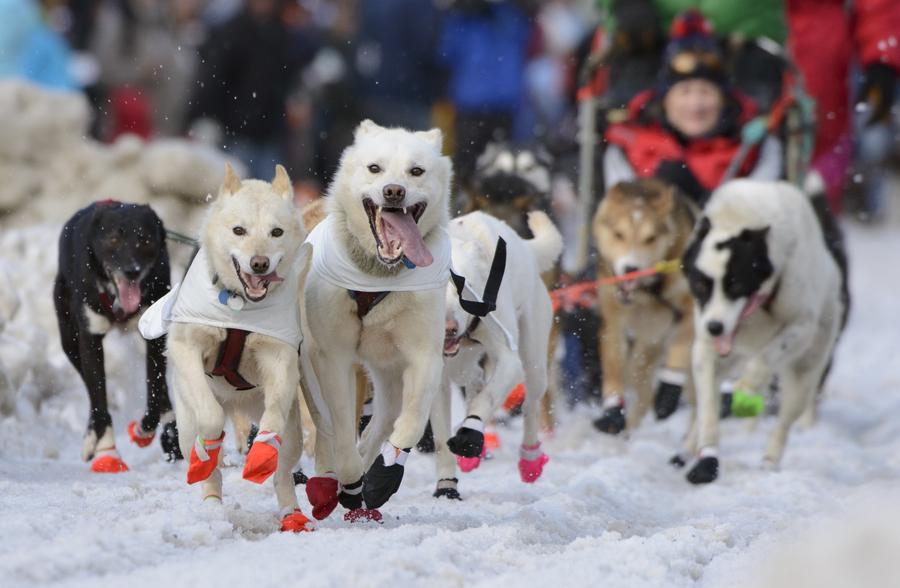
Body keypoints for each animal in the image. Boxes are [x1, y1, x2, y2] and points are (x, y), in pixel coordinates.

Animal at [53, 201, 181, 474]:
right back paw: (92, 438)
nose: (131, 271)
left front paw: (145, 430)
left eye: (145, 240)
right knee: (91, 392)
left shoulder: (154, 338)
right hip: (69, 340)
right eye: (113, 239)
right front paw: (107, 450)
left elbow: (154, 389)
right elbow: (99, 396)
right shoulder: (89, 339)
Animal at [302, 118, 454, 520]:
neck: (378, 274)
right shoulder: (333, 357)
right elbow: (341, 425)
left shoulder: (425, 356)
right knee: (324, 428)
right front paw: (350, 479)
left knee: (383, 421)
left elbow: (412, 421)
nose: (394, 191)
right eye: (375, 168)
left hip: (388, 375)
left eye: (416, 171)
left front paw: (384, 476)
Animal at [596, 177, 700, 434]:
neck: (647, 293)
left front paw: (668, 394)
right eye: (619, 234)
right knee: (639, 386)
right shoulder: (614, 322)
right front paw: (613, 411)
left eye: (650, 238)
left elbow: (679, 349)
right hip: (644, 351)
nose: (630, 269)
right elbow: (613, 366)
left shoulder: (688, 311)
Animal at [680, 181, 848, 484]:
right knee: (706, 403)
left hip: (805, 372)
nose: (715, 327)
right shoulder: (706, 349)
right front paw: (707, 458)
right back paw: (687, 448)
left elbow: (765, 358)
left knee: (784, 419)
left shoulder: (800, 325)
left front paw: (747, 386)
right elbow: (708, 408)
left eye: (736, 284)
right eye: (700, 286)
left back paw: (770, 459)